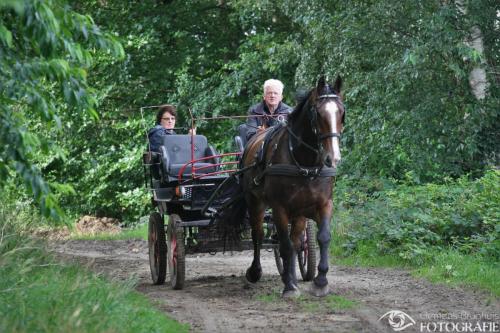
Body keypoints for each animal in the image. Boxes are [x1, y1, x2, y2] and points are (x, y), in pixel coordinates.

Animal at [241, 76, 344, 296]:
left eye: (341, 112)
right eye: (318, 113)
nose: (333, 158)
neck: (304, 162)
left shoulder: (324, 204)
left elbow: (322, 237)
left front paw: (320, 281)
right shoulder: (279, 207)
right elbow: (285, 245)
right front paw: (289, 286)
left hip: (299, 211)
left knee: (296, 241)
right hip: (255, 202)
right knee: (258, 234)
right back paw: (256, 271)